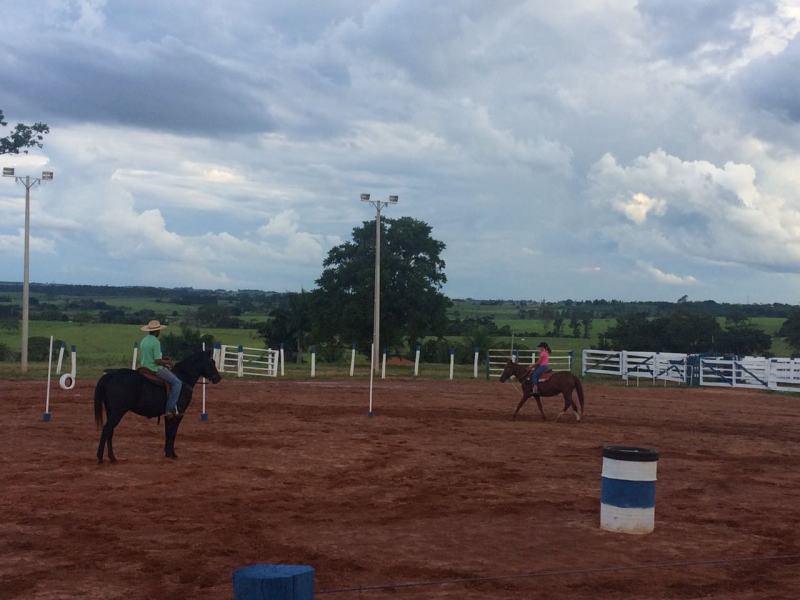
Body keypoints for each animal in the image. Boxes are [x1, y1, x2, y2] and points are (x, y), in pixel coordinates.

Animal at [94, 346, 222, 464]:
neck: (183, 380)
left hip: (111, 412)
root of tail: (110, 375)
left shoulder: (168, 414)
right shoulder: (179, 413)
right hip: (117, 412)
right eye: (211, 362)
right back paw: (101, 457)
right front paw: (172, 454)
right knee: (107, 430)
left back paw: (112, 457)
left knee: (110, 431)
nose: (218, 378)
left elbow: (167, 432)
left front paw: (167, 453)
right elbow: (173, 433)